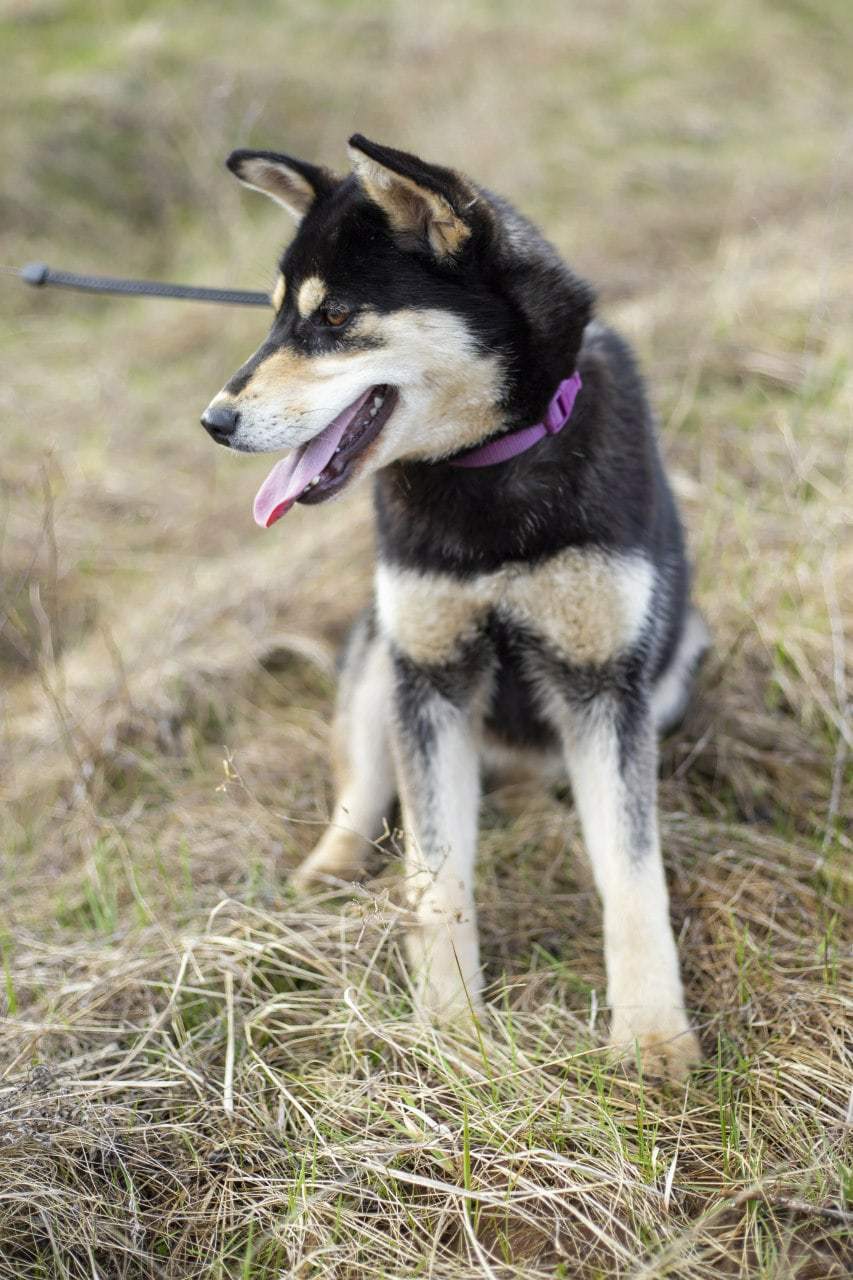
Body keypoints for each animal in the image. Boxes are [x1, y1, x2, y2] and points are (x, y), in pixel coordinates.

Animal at [199, 135, 701, 1075]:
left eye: (333, 318)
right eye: (274, 316)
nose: (212, 421)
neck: (485, 469)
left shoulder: (603, 683)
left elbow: (630, 874)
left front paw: (653, 1036)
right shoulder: (430, 679)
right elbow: (434, 876)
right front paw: (449, 1027)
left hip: (675, 662)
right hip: (380, 659)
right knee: (361, 792)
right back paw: (324, 870)